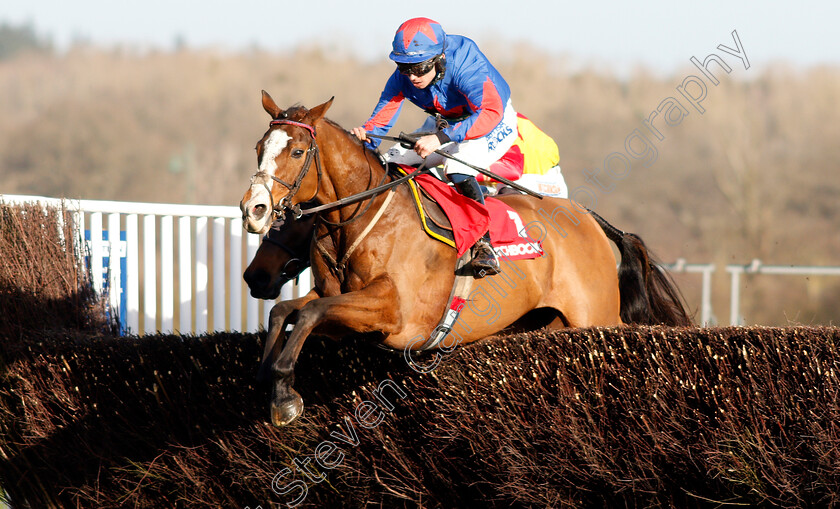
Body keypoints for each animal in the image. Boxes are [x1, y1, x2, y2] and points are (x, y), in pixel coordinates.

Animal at [241, 91, 688, 424]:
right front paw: (265, 376)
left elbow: (308, 314)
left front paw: (285, 394)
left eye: (297, 152)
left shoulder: (394, 312)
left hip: (594, 316)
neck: (362, 218)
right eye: (259, 147)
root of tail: (590, 219)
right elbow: (286, 311)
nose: (254, 210)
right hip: (546, 324)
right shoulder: (343, 308)